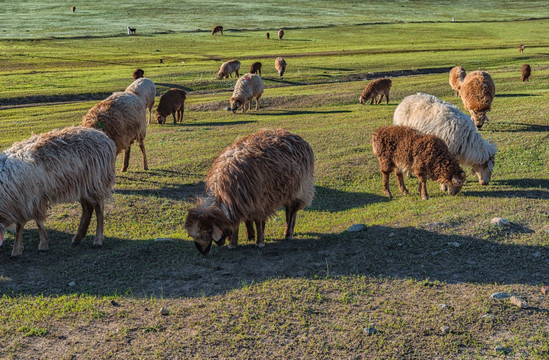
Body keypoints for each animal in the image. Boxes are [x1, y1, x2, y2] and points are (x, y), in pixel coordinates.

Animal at [0, 126, 115, 256]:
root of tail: (104, 136)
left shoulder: (28, 199)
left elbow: (25, 224)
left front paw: (23, 248)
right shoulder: (25, 201)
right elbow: (31, 222)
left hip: (96, 181)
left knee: (99, 208)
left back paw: (98, 240)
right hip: (82, 186)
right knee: (88, 207)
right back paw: (78, 237)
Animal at [184, 128, 312, 255]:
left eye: (206, 234)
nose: (203, 252)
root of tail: (295, 135)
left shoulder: (259, 201)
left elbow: (258, 221)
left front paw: (259, 242)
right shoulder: (243, 201)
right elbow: (241, 221)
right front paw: (241, 240)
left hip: (298, 190)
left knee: (292, 211)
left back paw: (288, 234)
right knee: (288, 211)